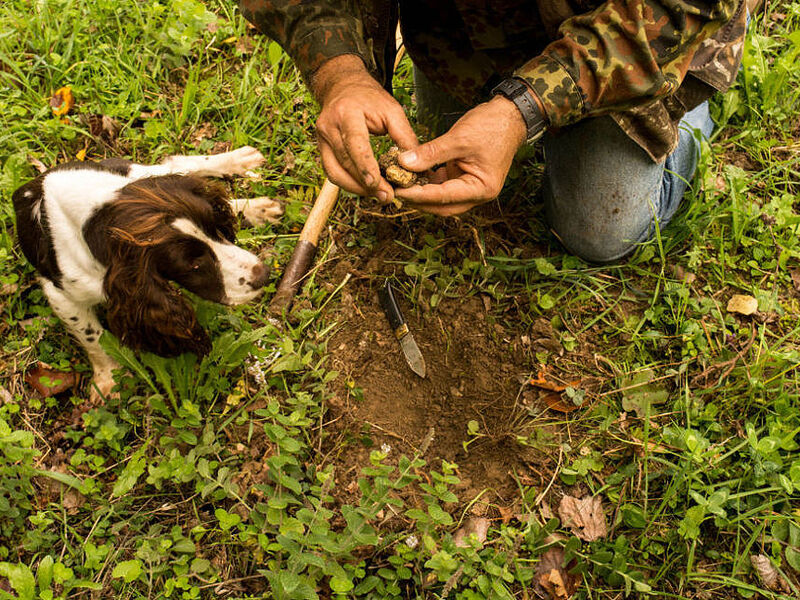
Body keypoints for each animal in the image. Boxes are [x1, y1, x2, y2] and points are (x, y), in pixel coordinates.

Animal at [13, 146, 284, 400]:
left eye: (216, 229)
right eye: (193, 265)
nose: (263, 275)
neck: (94, 210)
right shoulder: (61, 295)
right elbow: (93, 336)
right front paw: (108, 378)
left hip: (141, 172)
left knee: (176, 163)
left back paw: (247, 179)